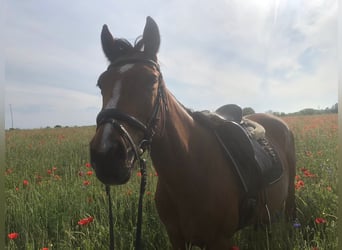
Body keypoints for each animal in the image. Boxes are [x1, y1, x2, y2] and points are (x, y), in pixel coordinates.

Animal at [89, 16, 296, 249]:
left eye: (151, 81)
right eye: (101, 84)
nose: (106, 156)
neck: (190, 169)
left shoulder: (221, 240)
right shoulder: (176, 238)